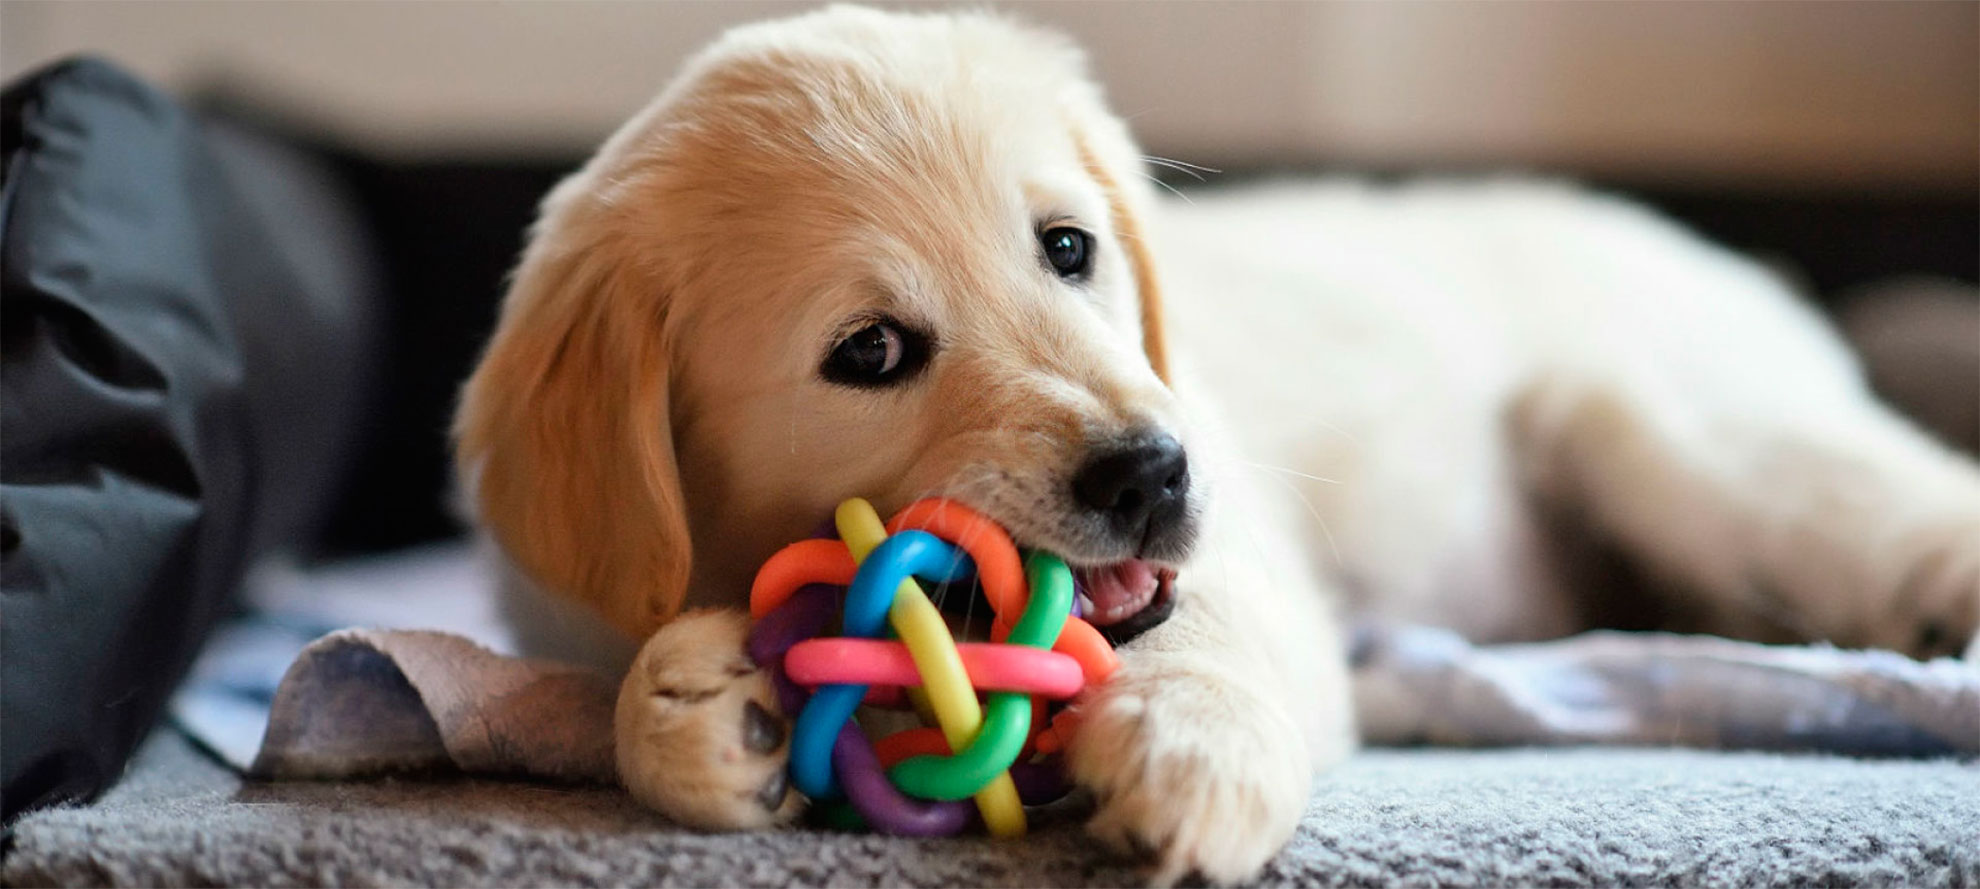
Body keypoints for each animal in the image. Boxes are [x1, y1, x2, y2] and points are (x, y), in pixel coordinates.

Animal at [455, 5, 1972, 879]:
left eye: (1069, 248)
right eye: (869, 352)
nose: (1150, 473)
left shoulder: (1241, 541)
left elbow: (1208, 627)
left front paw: (1192, 749)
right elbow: (621, 682)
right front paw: (701, 706)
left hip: (1678, 437)